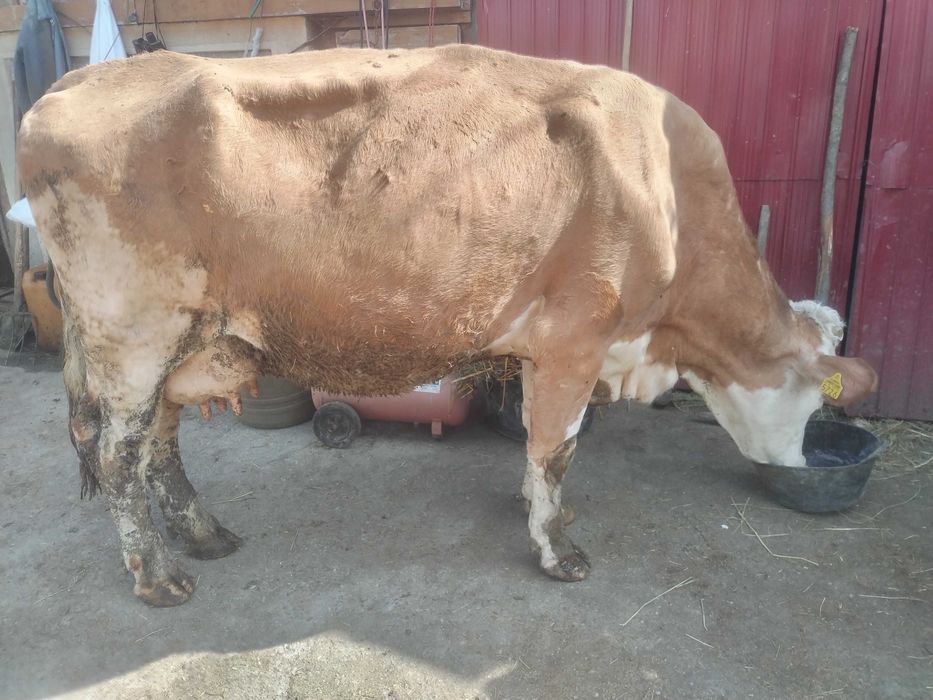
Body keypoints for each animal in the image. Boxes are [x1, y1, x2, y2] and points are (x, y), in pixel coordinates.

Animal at [17, 45, 877, 606]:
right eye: (814, 400)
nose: (800, 464)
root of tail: (69, 85)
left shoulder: (547, 350)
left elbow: (537, 446)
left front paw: (538, 509)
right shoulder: (575, 337)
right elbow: (557, 448)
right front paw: (557, 551)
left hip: (177, 341)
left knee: (160, 447)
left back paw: (203, 535)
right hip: (134, 331)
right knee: (119, 455)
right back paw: (158, 577)